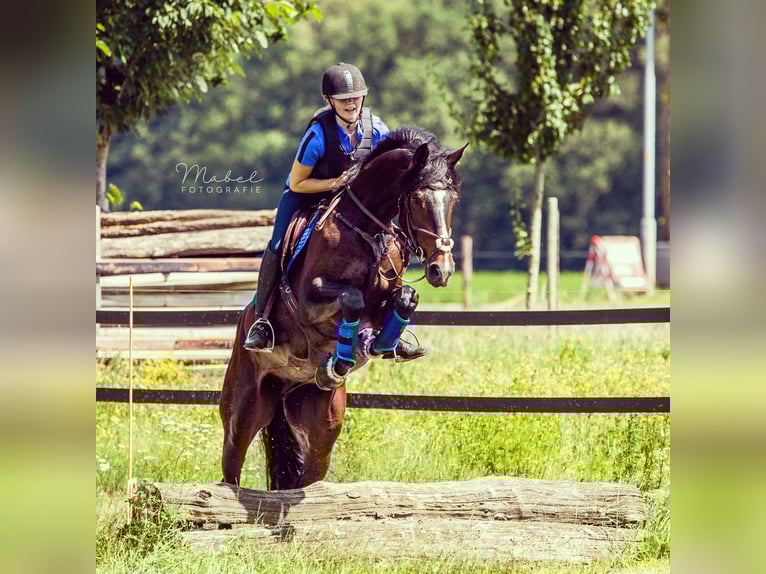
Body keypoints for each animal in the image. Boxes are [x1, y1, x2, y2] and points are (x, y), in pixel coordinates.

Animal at [219, 126, 466, 490]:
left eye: (454, 200)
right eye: (417, 200)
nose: (442, 270)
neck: (365, 229)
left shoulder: (387, 294)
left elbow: (404, 298)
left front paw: (381, 345)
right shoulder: (308, 300)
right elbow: (352, 298)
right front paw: (349, 352)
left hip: (319, 425)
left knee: (309, 475)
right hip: (243, 410)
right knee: (231, 464)